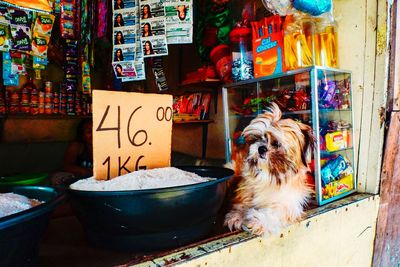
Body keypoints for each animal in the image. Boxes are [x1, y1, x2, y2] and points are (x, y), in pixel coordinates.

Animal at [223, 102, 314, 237]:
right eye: (257, 139)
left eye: (277, 144)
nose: (261, 148)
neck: (269, 176)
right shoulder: (245, 191)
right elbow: (242, 204)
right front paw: (238, 216)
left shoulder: (289, 203)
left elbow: (276, 212)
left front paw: (259, 221)